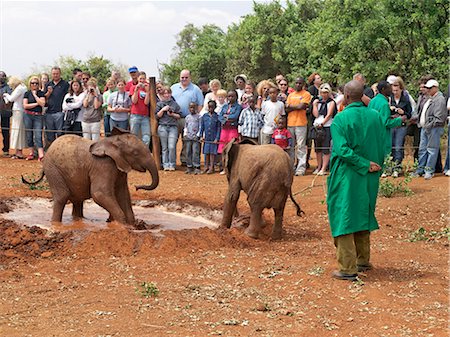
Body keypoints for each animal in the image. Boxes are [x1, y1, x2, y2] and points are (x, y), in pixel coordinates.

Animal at [23, 127, 160, 227]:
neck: (112, 142)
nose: (137, 187)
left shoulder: (119, 167)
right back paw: (56, 224)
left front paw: (132, 225)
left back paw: (78, 220)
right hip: (53, 170)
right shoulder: (103, 165)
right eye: (135, 153)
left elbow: (123, 194)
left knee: (77, 200)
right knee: (62, 197)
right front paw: (122, 225)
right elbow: (99, 193)